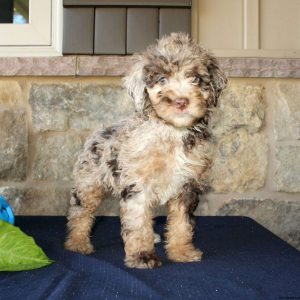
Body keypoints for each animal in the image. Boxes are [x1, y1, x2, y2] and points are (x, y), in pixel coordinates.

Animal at [64, 33, 226, 270]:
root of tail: (96, 132)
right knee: (81, 213)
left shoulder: (186, 186)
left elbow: (182, 223)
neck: (171, 132)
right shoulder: (138, 185)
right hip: (89, 184)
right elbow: (138, 222)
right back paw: (77, 243)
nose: (181, 101)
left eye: (196, 79)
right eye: (162, 80)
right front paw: (142, 256)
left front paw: (182, 251)